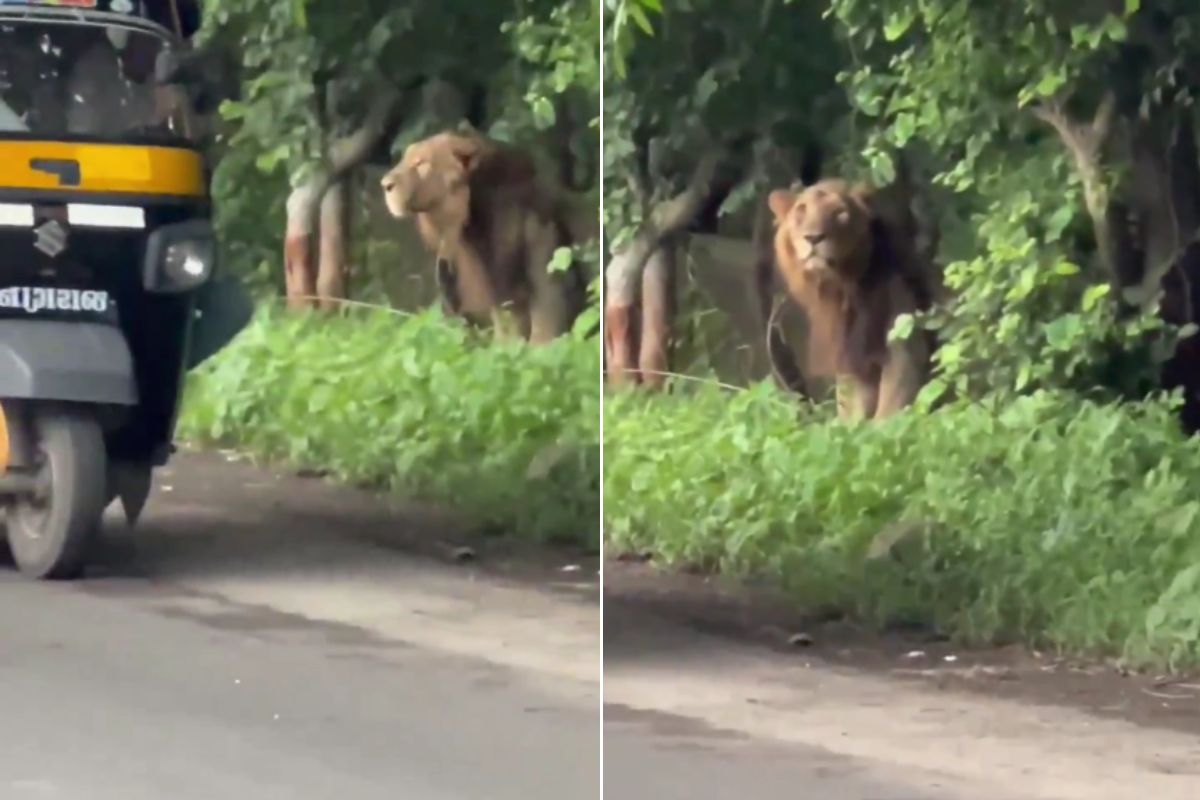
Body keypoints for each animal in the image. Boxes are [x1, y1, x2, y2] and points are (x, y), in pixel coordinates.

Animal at [766, 179, 937, 420]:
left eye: (840, 212)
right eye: (801, 210)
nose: (813, 238)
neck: (840, 287)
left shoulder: (903, 343)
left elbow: (891, 405)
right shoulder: (849, 356)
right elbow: (852, 408)